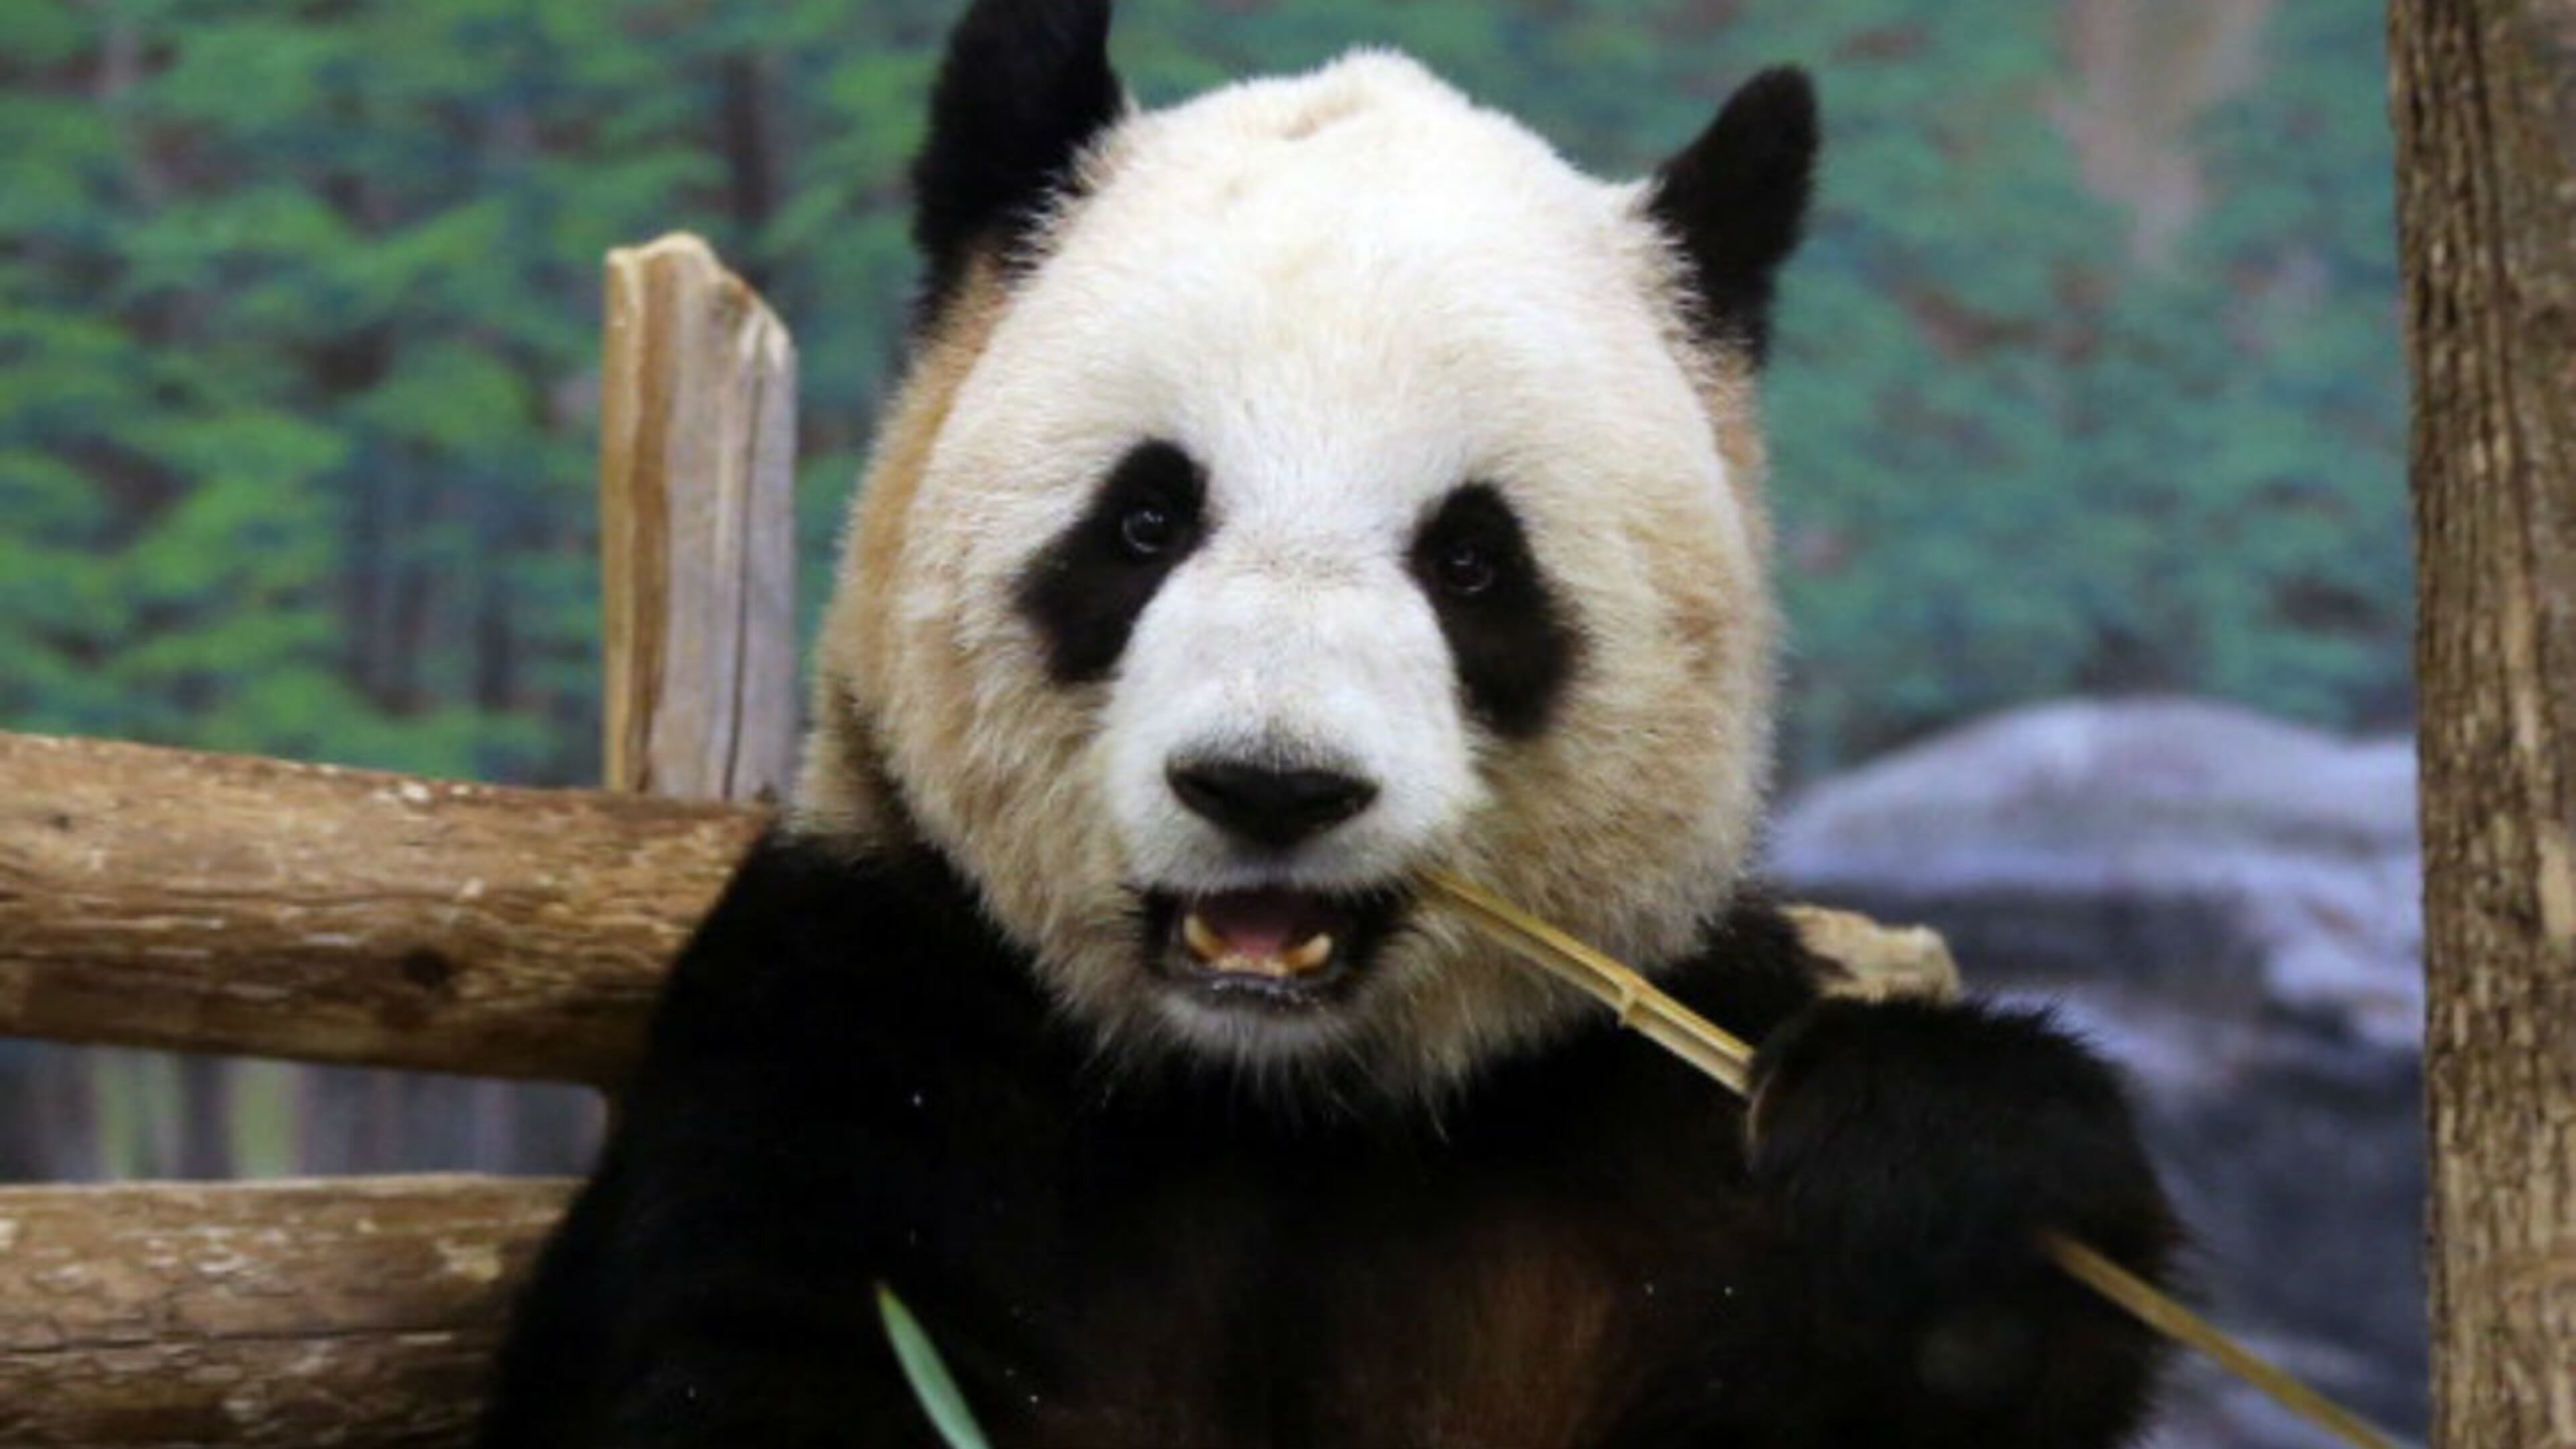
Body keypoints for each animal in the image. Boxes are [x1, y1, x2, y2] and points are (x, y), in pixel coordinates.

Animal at [478, 1, 2178, 1445]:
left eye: (1472, 559)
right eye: (1145, 517)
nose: (1270, 786)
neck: (1274, 1105)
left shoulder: (1647, 1122)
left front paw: (1936, 1164)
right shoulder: (856, 1042)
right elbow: (741, 1350)